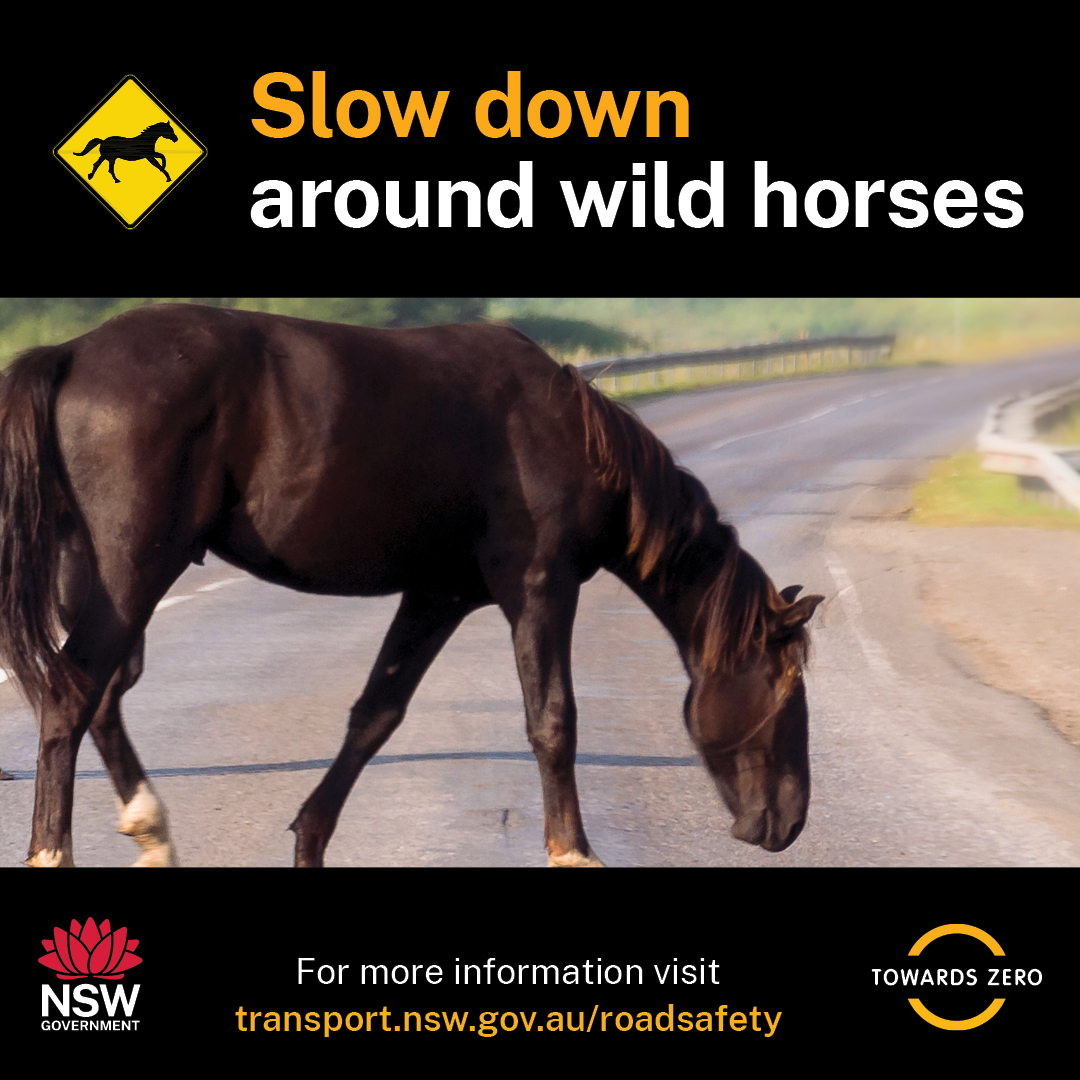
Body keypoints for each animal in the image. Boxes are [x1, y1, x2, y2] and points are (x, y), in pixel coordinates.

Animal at [0, 304, 823, 868]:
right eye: (787, 692)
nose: (788, 824)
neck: (566, 433)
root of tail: (71, 353)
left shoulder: (438, 597)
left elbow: (376, 717)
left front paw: (310, 838)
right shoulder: (540, 587)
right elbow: (553, 721)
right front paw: (573, 851)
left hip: (98, 574)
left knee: (102, 693)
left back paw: (151, 829)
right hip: (134, 570)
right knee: (74, 695)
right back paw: (57, 851)